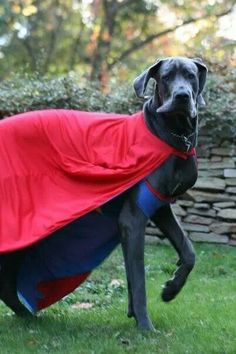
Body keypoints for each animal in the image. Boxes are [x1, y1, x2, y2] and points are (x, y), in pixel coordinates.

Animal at [119, 56, 207, 330]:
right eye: (166, 77)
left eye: (191, 76)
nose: (182, 96)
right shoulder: (134, 218)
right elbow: (138, 278)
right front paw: (145, 325)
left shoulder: (160, 207)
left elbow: (188, 251)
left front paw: (171, 289)